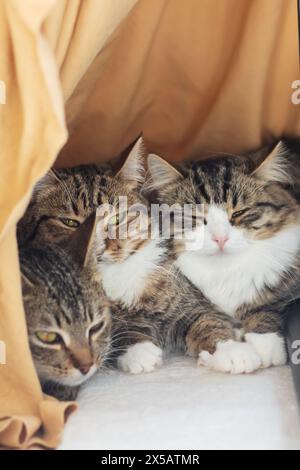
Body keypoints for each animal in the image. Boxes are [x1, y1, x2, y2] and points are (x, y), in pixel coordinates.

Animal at [146, 138, 300, 372]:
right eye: (195, 217)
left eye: (238, 213)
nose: (220, 238)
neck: (225, 270)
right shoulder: (188, 303)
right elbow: (205, 322)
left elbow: (267, 307)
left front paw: (265, 346)